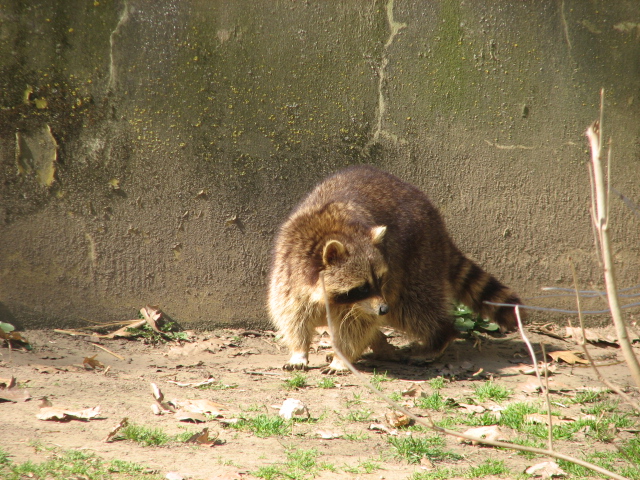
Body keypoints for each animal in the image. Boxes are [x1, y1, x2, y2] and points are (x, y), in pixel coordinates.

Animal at [268, 165, 523, 373]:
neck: (335, 232)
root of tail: (439, 226)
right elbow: (292, 314)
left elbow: (356, 326)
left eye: (380, 280)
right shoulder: (289, 268)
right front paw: (299, 350)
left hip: (418, 259)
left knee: (415, 308)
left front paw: (342, 357)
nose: (383, 308)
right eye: (361, 287)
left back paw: (440, 336)